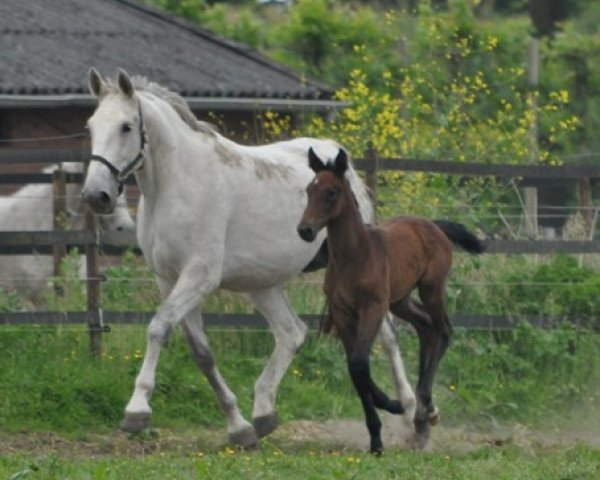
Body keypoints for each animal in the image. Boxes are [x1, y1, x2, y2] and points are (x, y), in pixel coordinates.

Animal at [298, 148, 486, 456]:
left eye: (332, 192)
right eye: (309, 189)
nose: (305, 230)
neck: (356, 256)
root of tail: (432, 225)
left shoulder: (373, 309)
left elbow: (359, 363)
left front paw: (386, 420)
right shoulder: (344, 313)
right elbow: (355, 368)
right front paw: (384, 421)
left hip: (431, 289)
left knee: (443, 330)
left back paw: (423, 410)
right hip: (400, 300)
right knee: (427, 328)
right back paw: (424, 415)